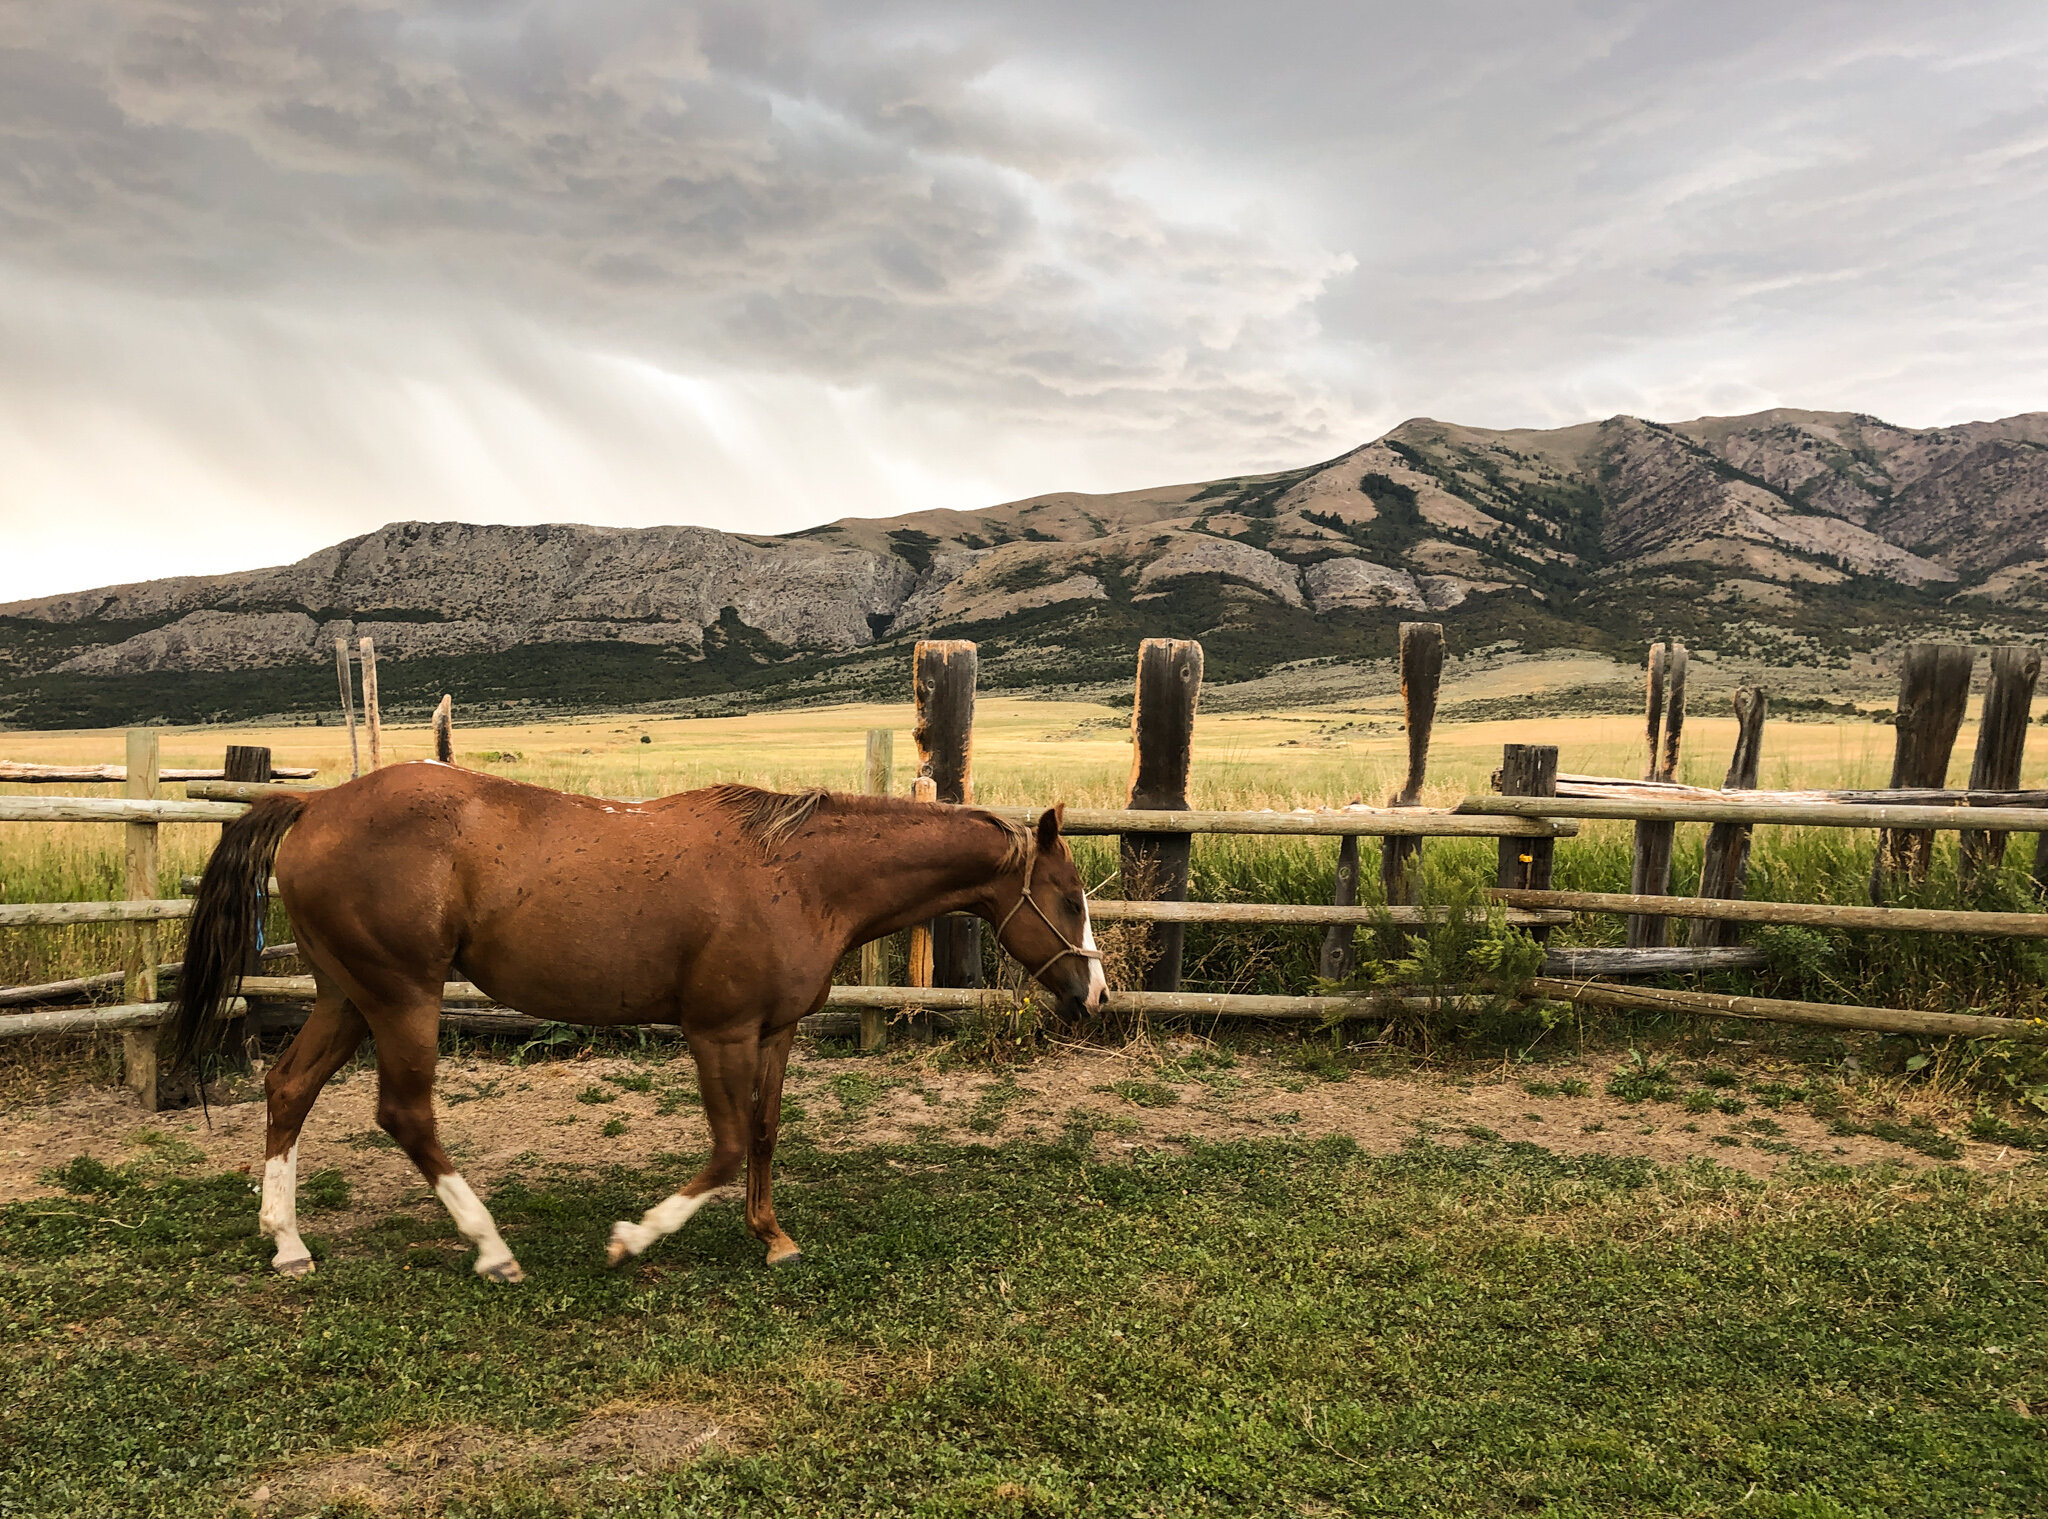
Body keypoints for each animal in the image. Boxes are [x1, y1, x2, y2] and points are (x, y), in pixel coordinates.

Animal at [167, 765, 1105, 1277]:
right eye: (1068, 896)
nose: (1093, 995)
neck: (799, 873)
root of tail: (314, 808)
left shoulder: (773, 1031)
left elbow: (764, 1134)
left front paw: (772, 1236)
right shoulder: (716, 1030)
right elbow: (726, 1147)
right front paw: (632, 1238)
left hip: (346, 996)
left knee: (288, 1087)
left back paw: (287, 1241)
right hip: (402, 997)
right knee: (405, 1114)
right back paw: (491, 1246)